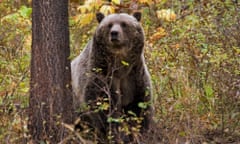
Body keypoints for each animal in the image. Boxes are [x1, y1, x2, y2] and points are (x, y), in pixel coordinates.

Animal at [71, 11, 152, 142]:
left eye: (124, 24)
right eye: (109, 25)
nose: (114, 33)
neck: (120, 66)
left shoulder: (135, 77)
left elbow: (139, 106)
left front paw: (139, 134)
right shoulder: (100, 75)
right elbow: (103, 107)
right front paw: (115, 134)